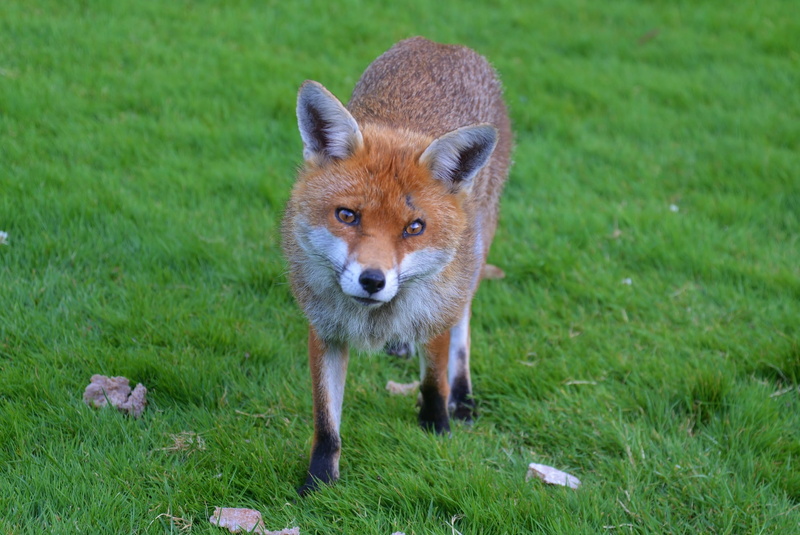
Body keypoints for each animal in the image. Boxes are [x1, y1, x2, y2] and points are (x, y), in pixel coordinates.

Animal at [282, 36, 512, 495]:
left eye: (414, 227)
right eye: (347, 216)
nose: (372, 280)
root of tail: (443, 44)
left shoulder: (436, 311)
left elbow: (434, 379)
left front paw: (437, 428)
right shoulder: (324, 330)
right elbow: (326, 423)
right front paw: (318, 484)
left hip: (474, 256)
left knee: (463, 325)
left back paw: (463, 396)